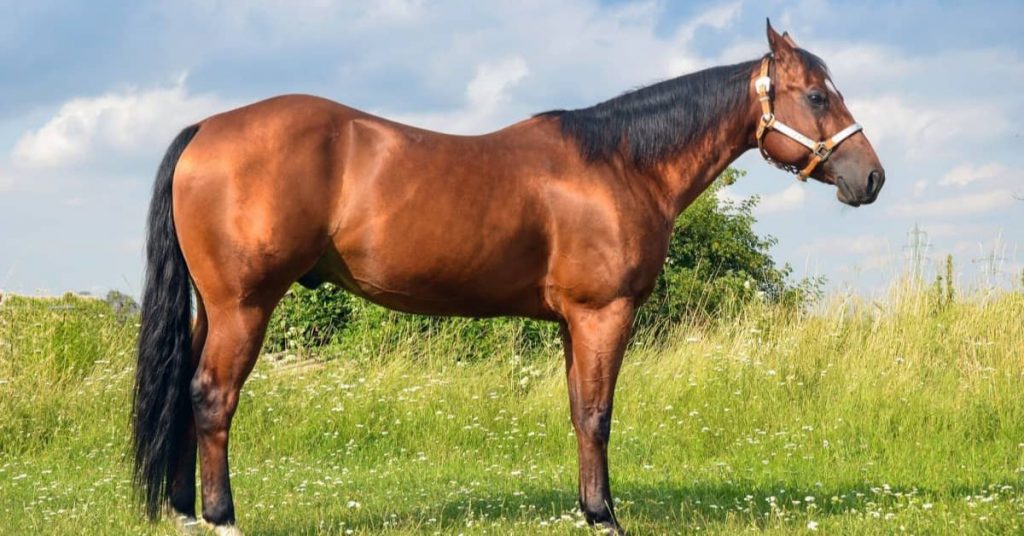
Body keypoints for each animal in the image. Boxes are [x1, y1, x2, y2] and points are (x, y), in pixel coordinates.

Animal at [132, 21, 884, 535]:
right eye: (817, 95)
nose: (871, 177)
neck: (620, 164)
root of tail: (206, 129)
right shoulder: (603, 313)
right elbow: (598, 414)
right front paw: (606, 516)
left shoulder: (572, 323)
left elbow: (578, 411)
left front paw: (588, 508)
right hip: (244, 305)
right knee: (212, 396)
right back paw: (222, 516)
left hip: (214, 307)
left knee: (185, 390)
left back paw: (184, 511)